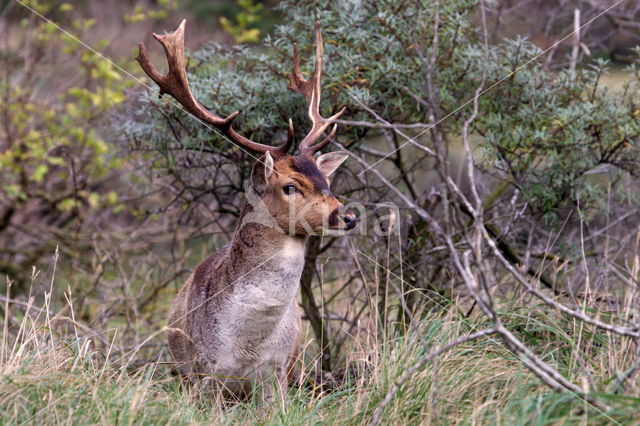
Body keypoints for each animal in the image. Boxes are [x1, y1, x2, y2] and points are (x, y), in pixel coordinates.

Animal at [136, 19, 356, 400]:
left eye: (326, 181)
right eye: (290, 187)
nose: (348, 216)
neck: (247, 344)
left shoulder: (278, 374)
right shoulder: (205, 375)